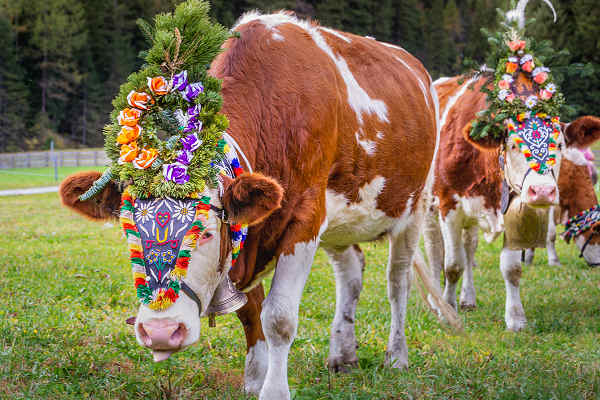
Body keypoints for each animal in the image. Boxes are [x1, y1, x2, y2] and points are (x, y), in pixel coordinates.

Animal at [58, 1, 442, 398]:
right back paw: (343, 354)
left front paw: (274, 390)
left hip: (414, 207)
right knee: (351, 271)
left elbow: (278, 317)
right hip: (342, 219)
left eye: (205, 232)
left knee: (397, 282)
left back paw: (396, 356)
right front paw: (255, 377)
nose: (161, 332)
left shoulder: (306, 217)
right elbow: (250, 310)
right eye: (129, 233)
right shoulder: (253, 233)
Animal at [424, 0, 600, 332]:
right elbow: (451, 265)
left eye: (560, 144)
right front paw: (447, 310)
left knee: (469, 247)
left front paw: (516, 318)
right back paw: (437, 298)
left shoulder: (516, 207)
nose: (542, 191)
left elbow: (511, 268)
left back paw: (468, 297)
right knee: (436, 253)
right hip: (426, 206)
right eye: (515, 144)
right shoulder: (448, 204)